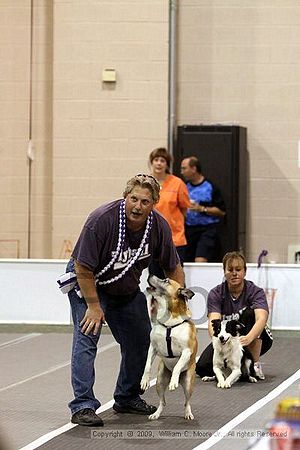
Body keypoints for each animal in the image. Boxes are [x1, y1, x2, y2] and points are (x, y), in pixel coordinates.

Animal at [140, 276, 198, 420]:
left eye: (166, 280)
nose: (150, 275)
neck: (169, 325)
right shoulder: (152, 347)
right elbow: (147, 365)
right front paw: (144, 380)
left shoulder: (187, 351)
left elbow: (177, 366)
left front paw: (173, 383)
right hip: (160, 380)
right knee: (163, 401)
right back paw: (156, 414)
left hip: (188, 382)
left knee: (187, 401)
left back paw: (188, 413)